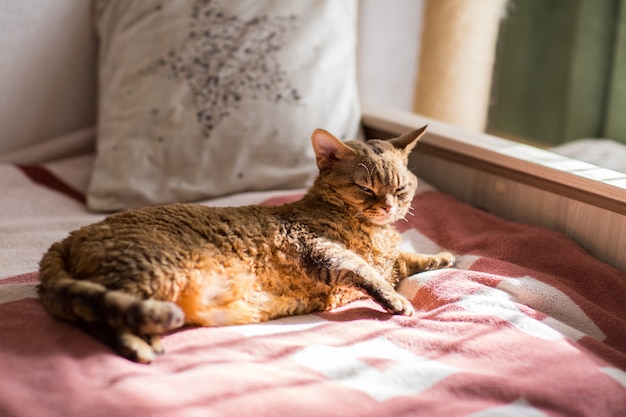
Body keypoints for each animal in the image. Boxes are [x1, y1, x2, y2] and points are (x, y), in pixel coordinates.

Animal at [36, 125, 454, 362]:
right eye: (365, 188)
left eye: (400, 189)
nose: (387, 206)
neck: (373, 231)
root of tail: (68, 238)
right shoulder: (324, 249)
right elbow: (371, 273)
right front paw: (397, 299)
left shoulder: (391, 257)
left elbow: (408, 259)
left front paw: (442, 257)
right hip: (151, 271)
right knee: (103, 318)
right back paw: (141, 345)